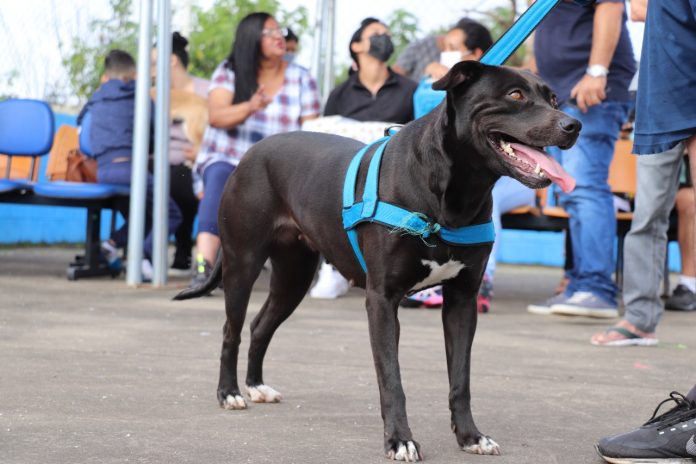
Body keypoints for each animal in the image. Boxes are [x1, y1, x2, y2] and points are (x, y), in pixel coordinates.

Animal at [175, 60, 580, 460]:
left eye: (553, 98)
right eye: (515, 95)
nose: (573, 125)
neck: (453, 191)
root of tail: (250, 153)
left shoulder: (462, 301)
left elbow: (460, 379)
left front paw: (470, 436)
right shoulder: (382, 300)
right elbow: (391, 378)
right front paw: (400, 439)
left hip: (294, 275)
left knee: (261, 326)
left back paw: (257, 385)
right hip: (242, 263)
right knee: (231, 330)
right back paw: (230, 393)